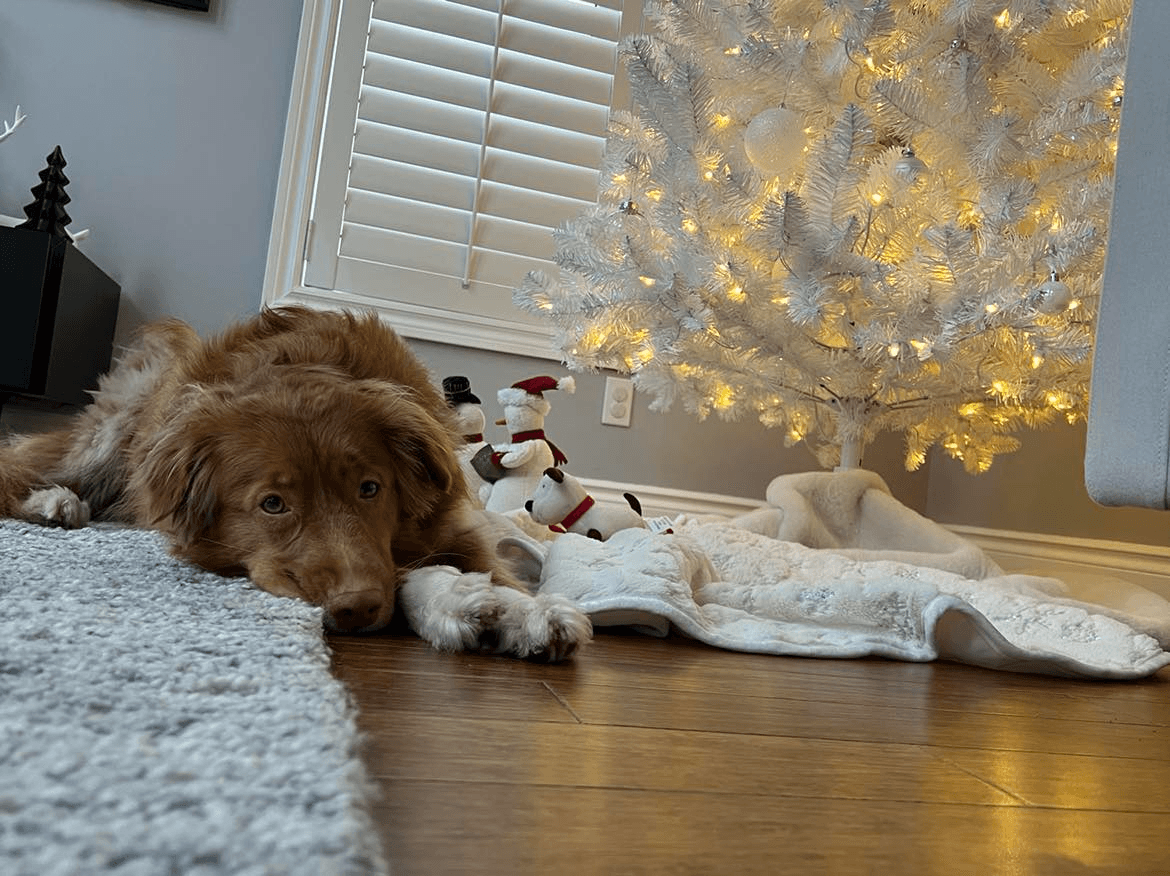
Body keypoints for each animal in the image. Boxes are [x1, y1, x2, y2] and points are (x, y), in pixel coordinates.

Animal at [0, 306, 585, 654]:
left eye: (370, 489)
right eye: (273, 504)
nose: (356, 609)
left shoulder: (450, 526)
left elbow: (484, 569)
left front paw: (522, 610)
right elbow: (404, 574)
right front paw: (461, 601)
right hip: (107, 440)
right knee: (22, 465)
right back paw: (52, 502)